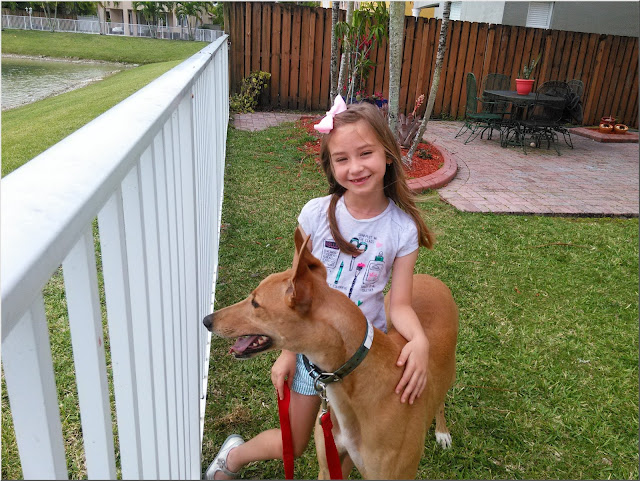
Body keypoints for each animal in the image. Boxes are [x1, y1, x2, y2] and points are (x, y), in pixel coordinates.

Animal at [202, 228, 458, 476]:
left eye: (255, 303)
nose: (206, 320)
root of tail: (430, 278)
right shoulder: (329, 462)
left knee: (440, 398)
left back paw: (442, 432)